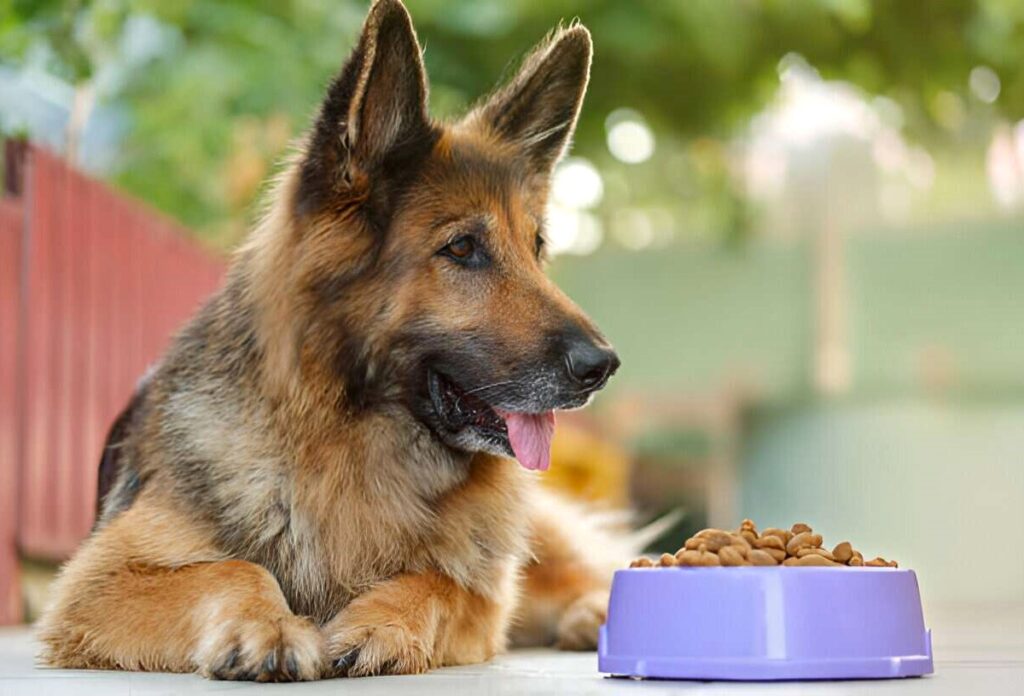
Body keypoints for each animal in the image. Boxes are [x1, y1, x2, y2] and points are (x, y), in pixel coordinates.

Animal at [37, 0, 622, 679]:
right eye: (461, 248)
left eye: (536, 249)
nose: (603, 365)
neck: (346, 443)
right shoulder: (97, 582)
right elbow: (233, 567)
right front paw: (268, 629)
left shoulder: (483, 597)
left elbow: (440, 581)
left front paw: (379, 625)